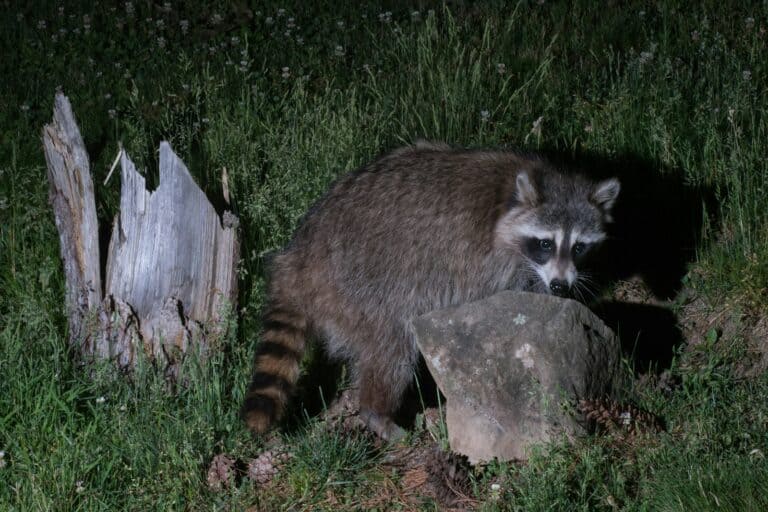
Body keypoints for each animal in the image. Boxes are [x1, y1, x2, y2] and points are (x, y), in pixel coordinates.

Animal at [243, 141, 620, 440]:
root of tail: (298, 259)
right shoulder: (481, 259)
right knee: (391, 349)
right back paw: (376, 411)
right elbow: (496, 297)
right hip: (360, 288)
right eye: (545, 243)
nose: (561, 284)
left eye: (579, 247)